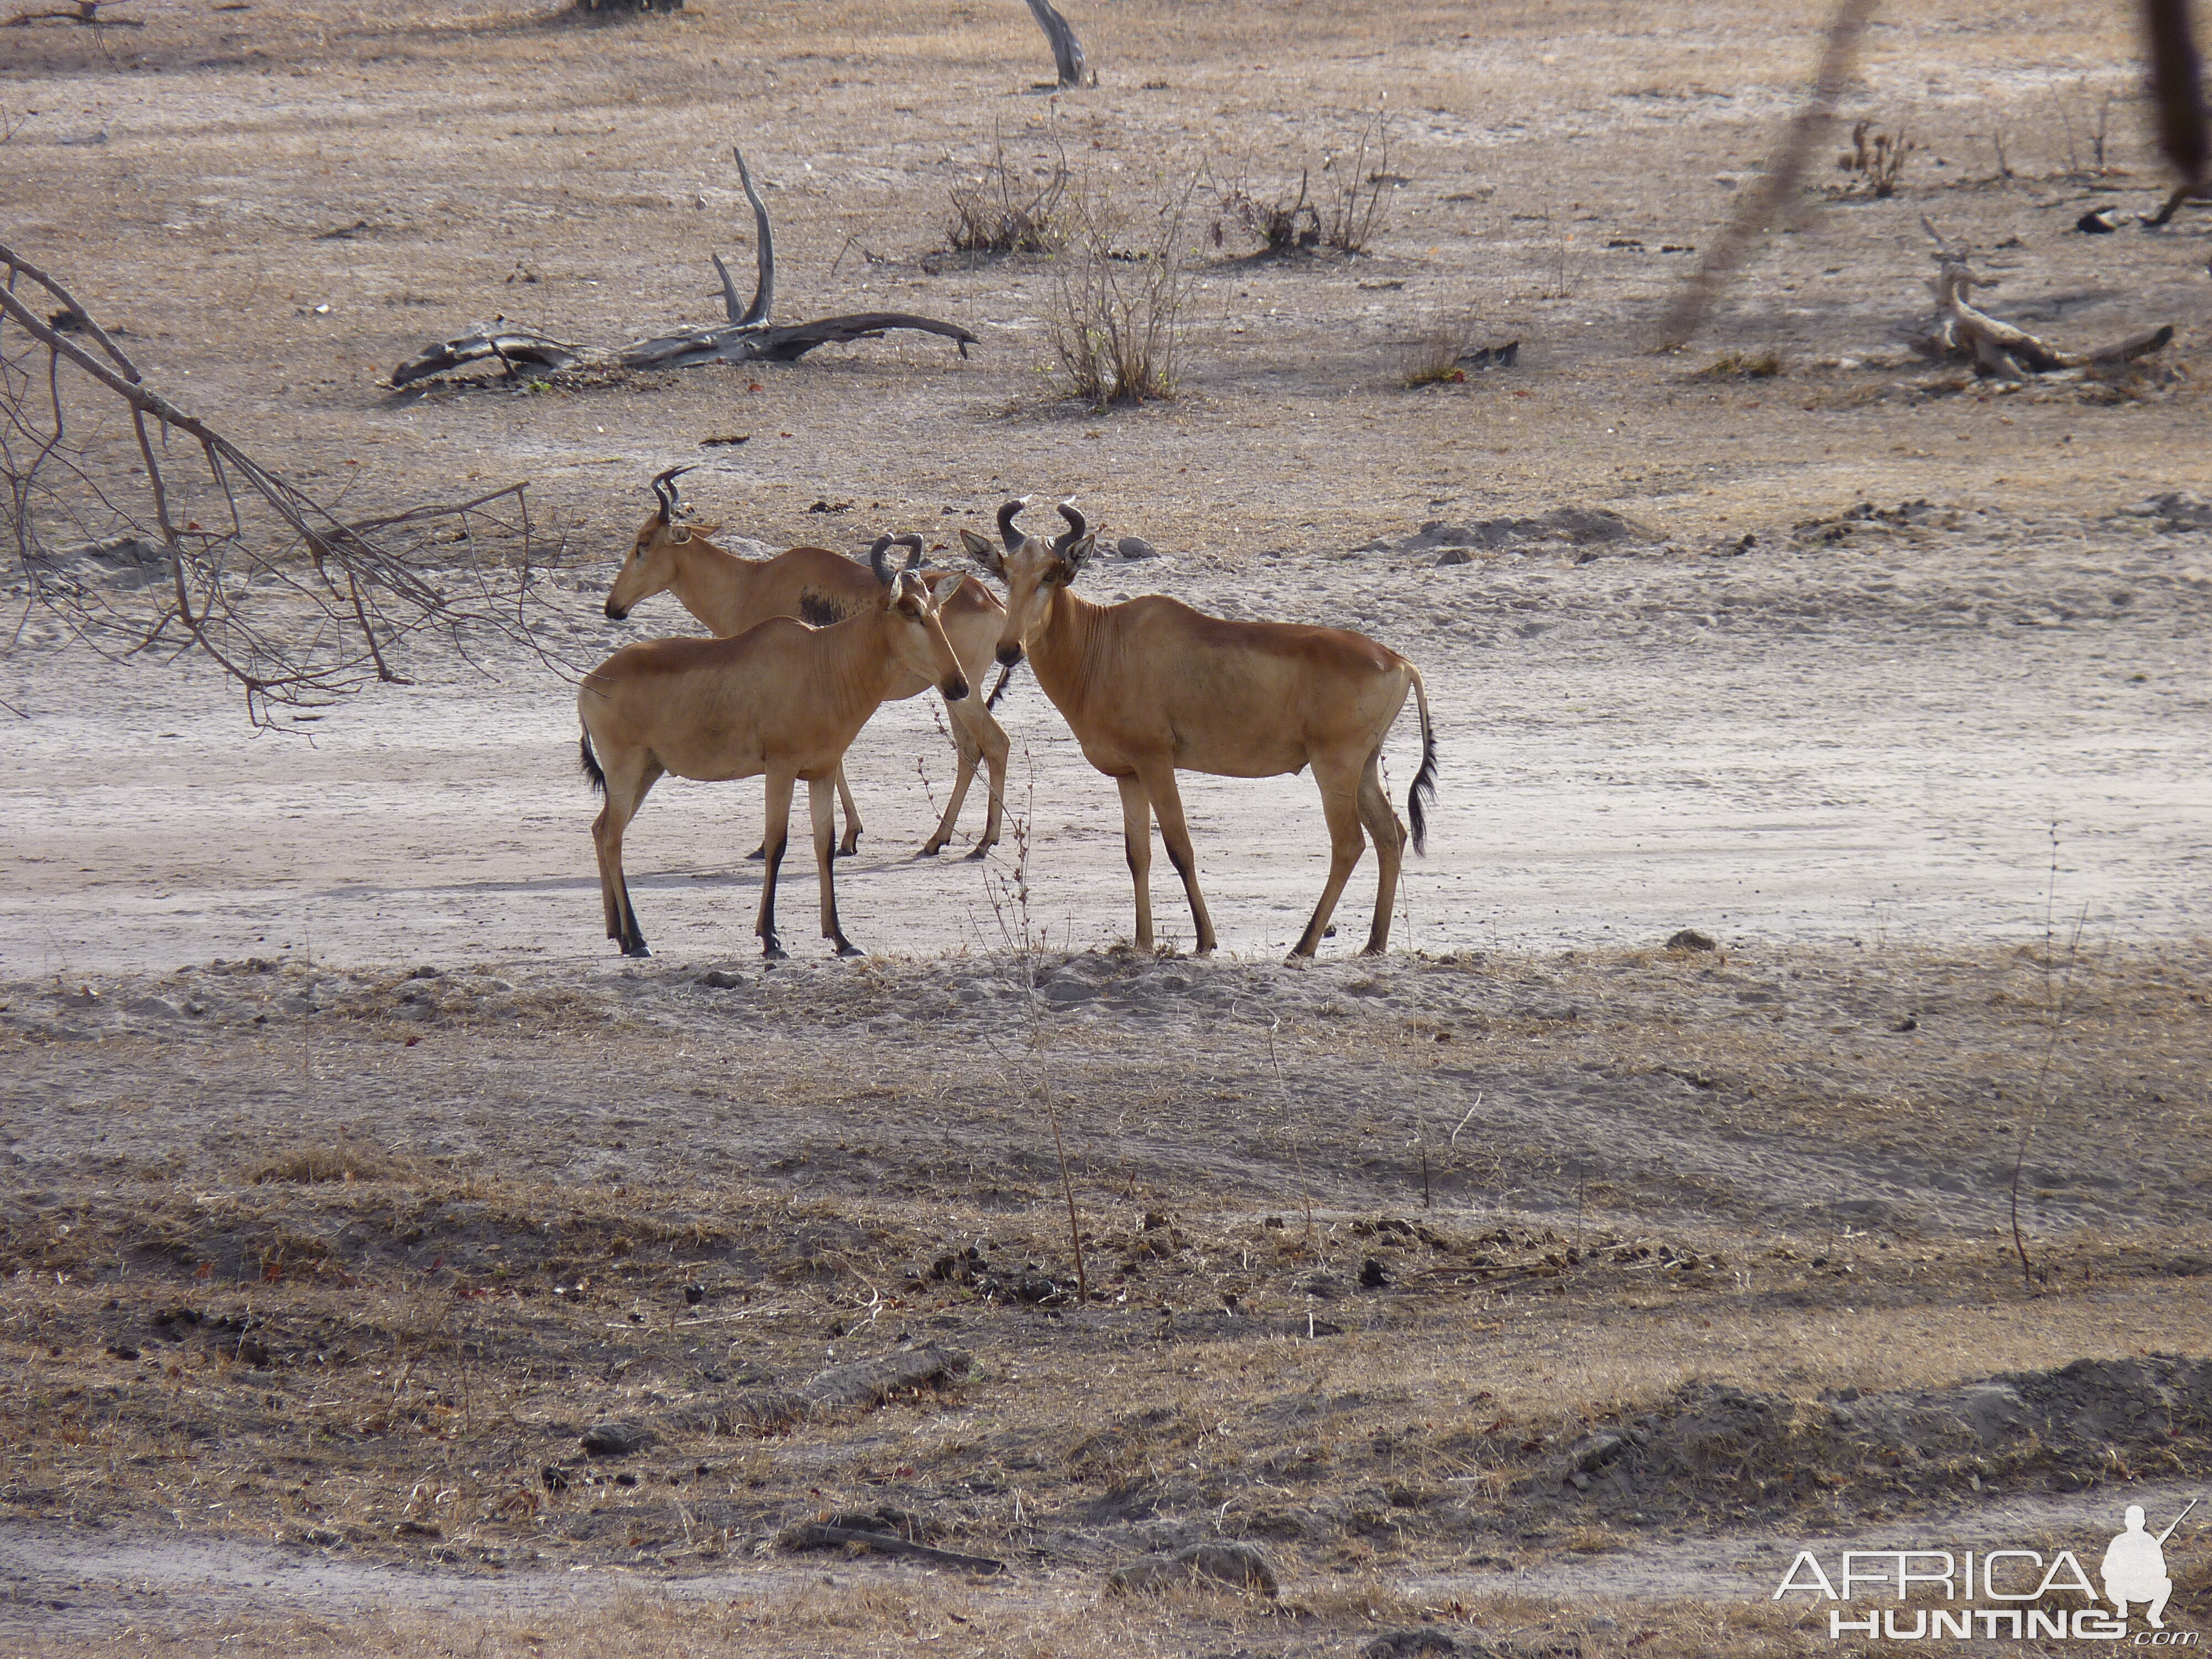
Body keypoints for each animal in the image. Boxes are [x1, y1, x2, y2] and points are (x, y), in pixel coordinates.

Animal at [964, 500, 1433, 960]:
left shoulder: (1157, 761)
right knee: (1391, 833)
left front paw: (1205, 940)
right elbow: (1138, 854)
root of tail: (1399, 661)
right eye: (1005, 573)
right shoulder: (1128, 774)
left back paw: (1304, 947)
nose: (1008, 650)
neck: (1108, 642)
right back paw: (1374, 944)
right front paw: (1142, 943)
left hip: (1333, 766)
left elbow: (1180, 847)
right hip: (1364, 767)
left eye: (1051, 574)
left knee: (1349, 843)